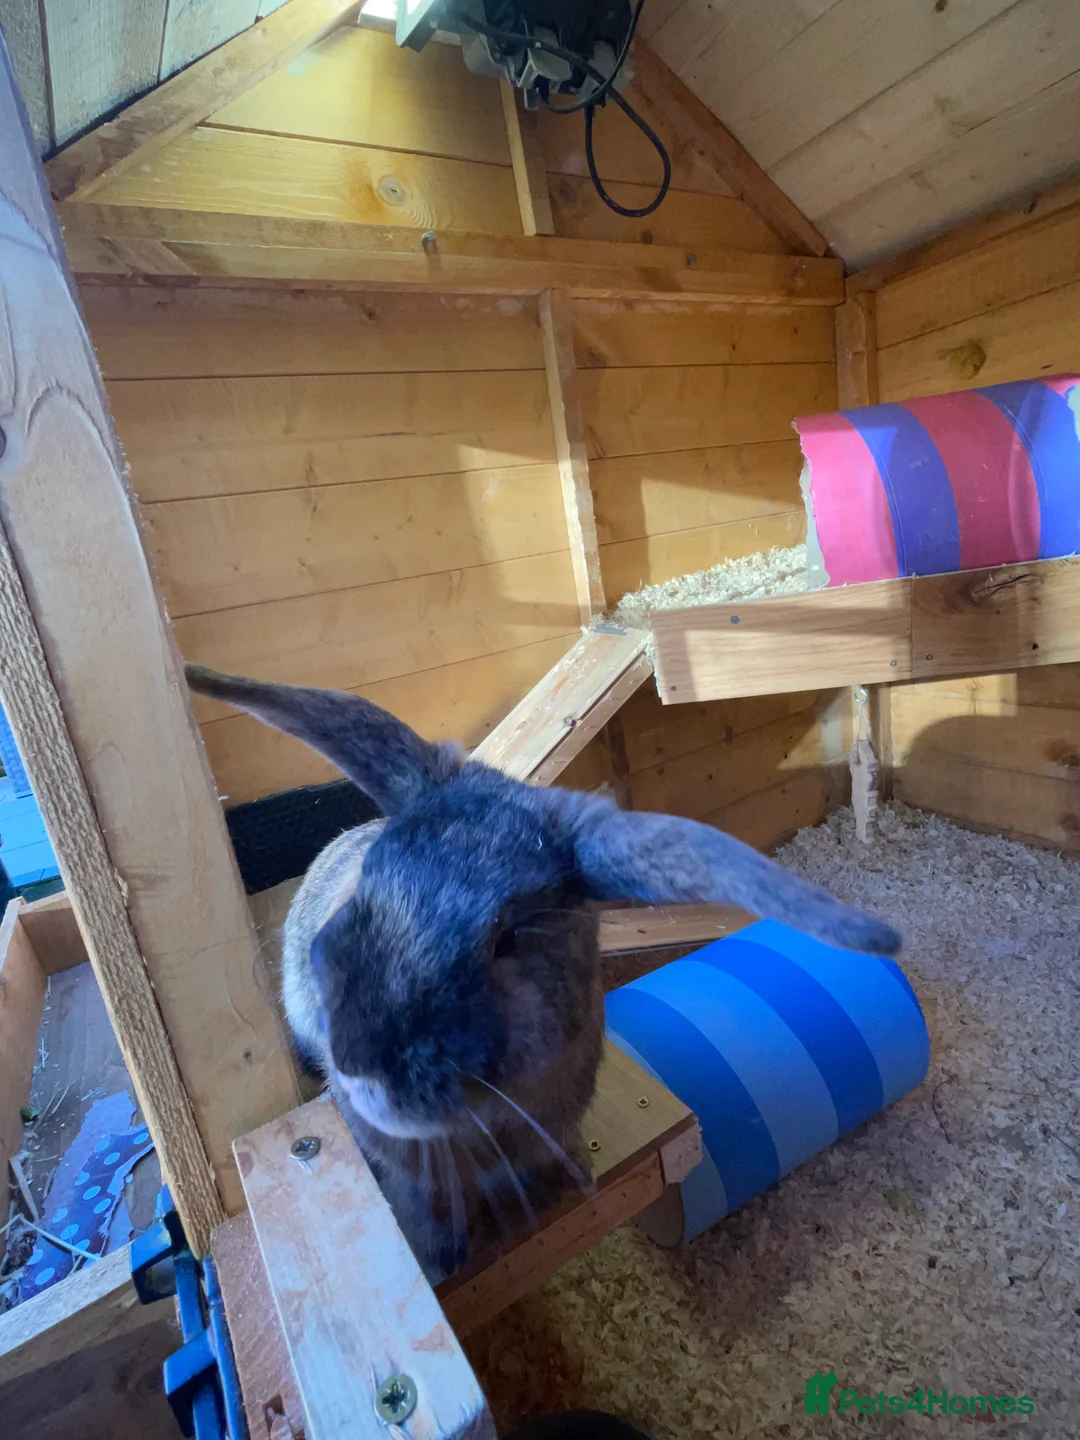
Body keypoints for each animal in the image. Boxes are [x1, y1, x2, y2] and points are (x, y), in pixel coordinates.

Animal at [186, 664, 900, 1281]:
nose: (359, 1062)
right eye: (370, 880)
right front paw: (441, 1261)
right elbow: (427, 1208)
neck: (490, 1114)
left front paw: (565, 1190)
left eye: (508, 935)